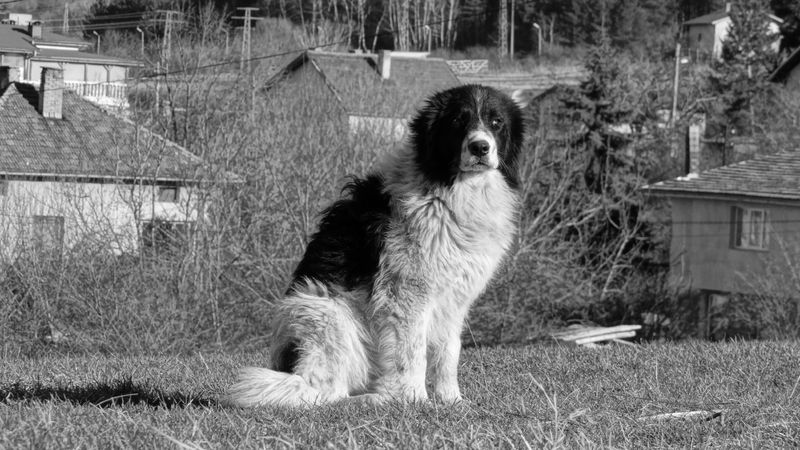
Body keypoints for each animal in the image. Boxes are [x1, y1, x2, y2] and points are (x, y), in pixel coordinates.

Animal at [227, 84, 524, 407]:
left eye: (496, 123)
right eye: (458, 120)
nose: (480, 147)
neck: (449, 192)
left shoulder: (454, 299)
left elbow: (448, 352)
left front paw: (451, 401)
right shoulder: (406, 293)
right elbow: (412, 352)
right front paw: (414, 400)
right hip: (328, 314)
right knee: (326, 392)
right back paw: (373, 399)